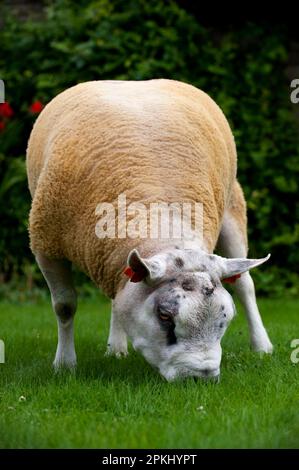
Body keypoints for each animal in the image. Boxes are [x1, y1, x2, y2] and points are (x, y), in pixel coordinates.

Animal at [27, 80, 274, 382]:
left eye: (225, 319)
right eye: (164, 316)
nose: (201, 377)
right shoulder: (46, 244)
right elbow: (65, 306)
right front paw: (64, 365)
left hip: (232, 208)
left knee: (245, 284)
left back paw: (262, 346)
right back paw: (116, 349)